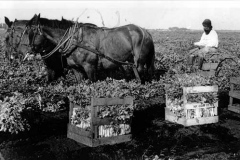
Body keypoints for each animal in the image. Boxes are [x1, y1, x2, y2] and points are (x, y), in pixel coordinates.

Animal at [26, 13, 156, 83]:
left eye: (32, 31)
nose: (29, 52)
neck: (74, 40)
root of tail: (145, 32)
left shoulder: (90, 67)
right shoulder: (76, 69)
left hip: (140, 62)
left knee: (142, 76)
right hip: (132, 61)